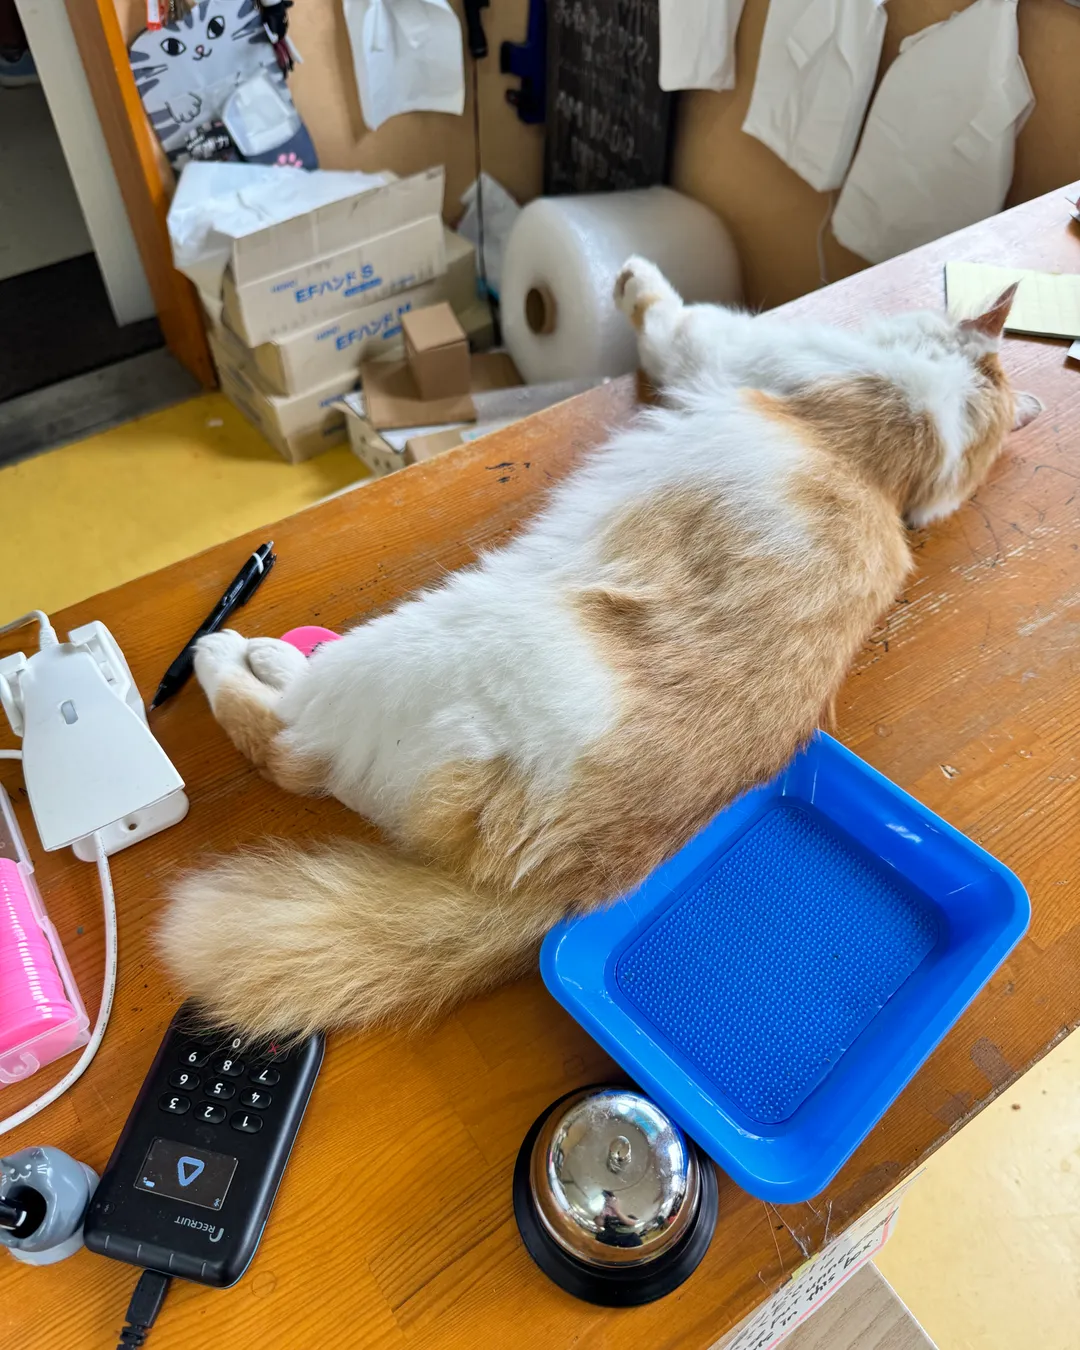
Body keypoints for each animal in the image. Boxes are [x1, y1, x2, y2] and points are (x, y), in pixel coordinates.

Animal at [159, 257, 1042, 1040]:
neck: (909, 456)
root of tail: (567, 878)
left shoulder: (714, 344)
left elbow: (663, 308)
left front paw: (628, 274)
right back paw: (275, 658)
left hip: (427, 638)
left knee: (290, 746)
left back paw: (234, 655)